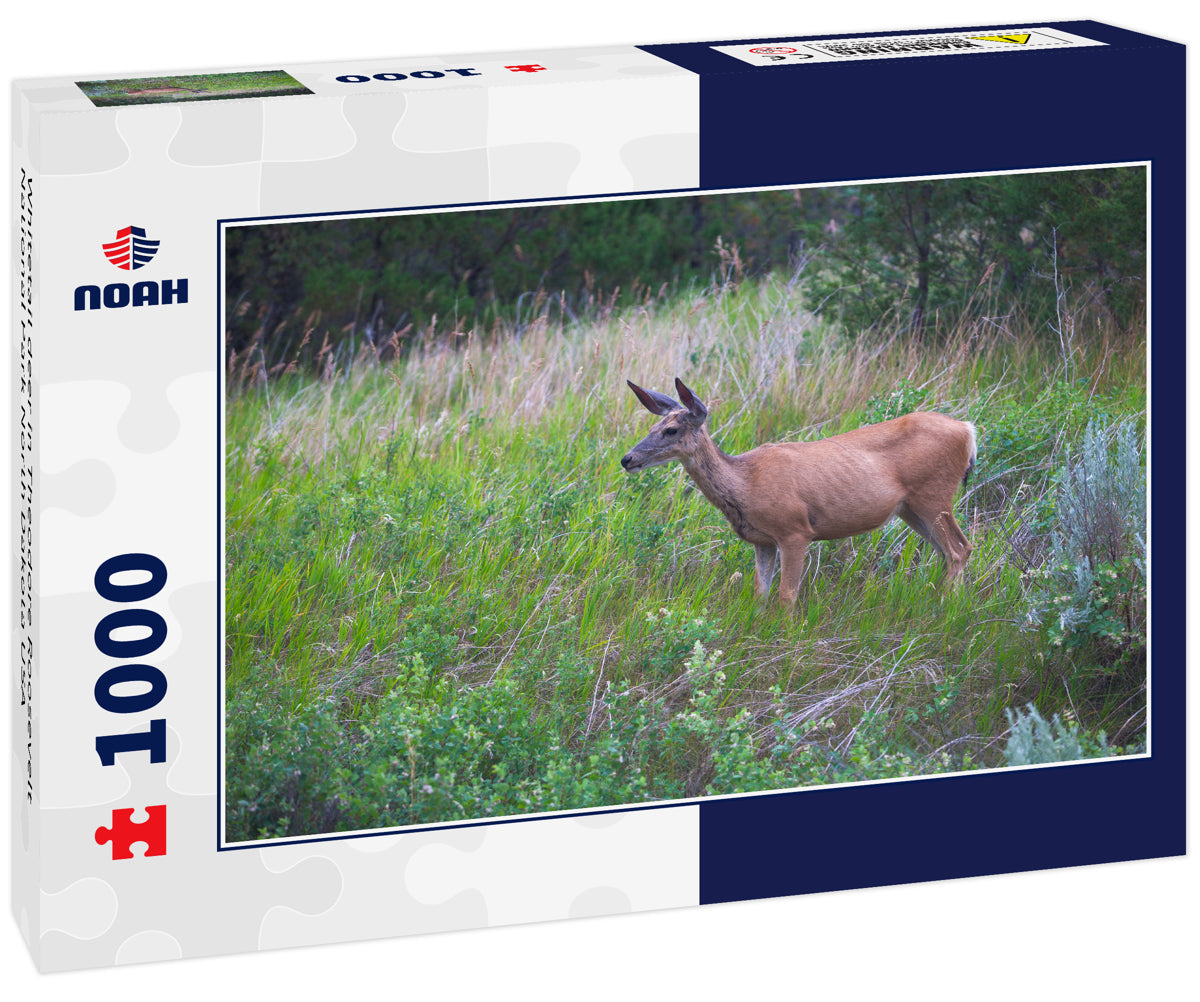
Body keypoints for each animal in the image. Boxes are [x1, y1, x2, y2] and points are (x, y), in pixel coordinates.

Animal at [620, 378, 976, 605]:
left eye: (671, 430)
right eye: (651, 427)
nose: (627, 459)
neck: (744, 484)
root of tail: (969, 431)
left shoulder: (795, 530)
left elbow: (786, 595)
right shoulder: (762, 540)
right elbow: (759, 593)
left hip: (934, 494)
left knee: (960, 548)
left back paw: (945, 610)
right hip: (910, 509)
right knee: (947, 552)